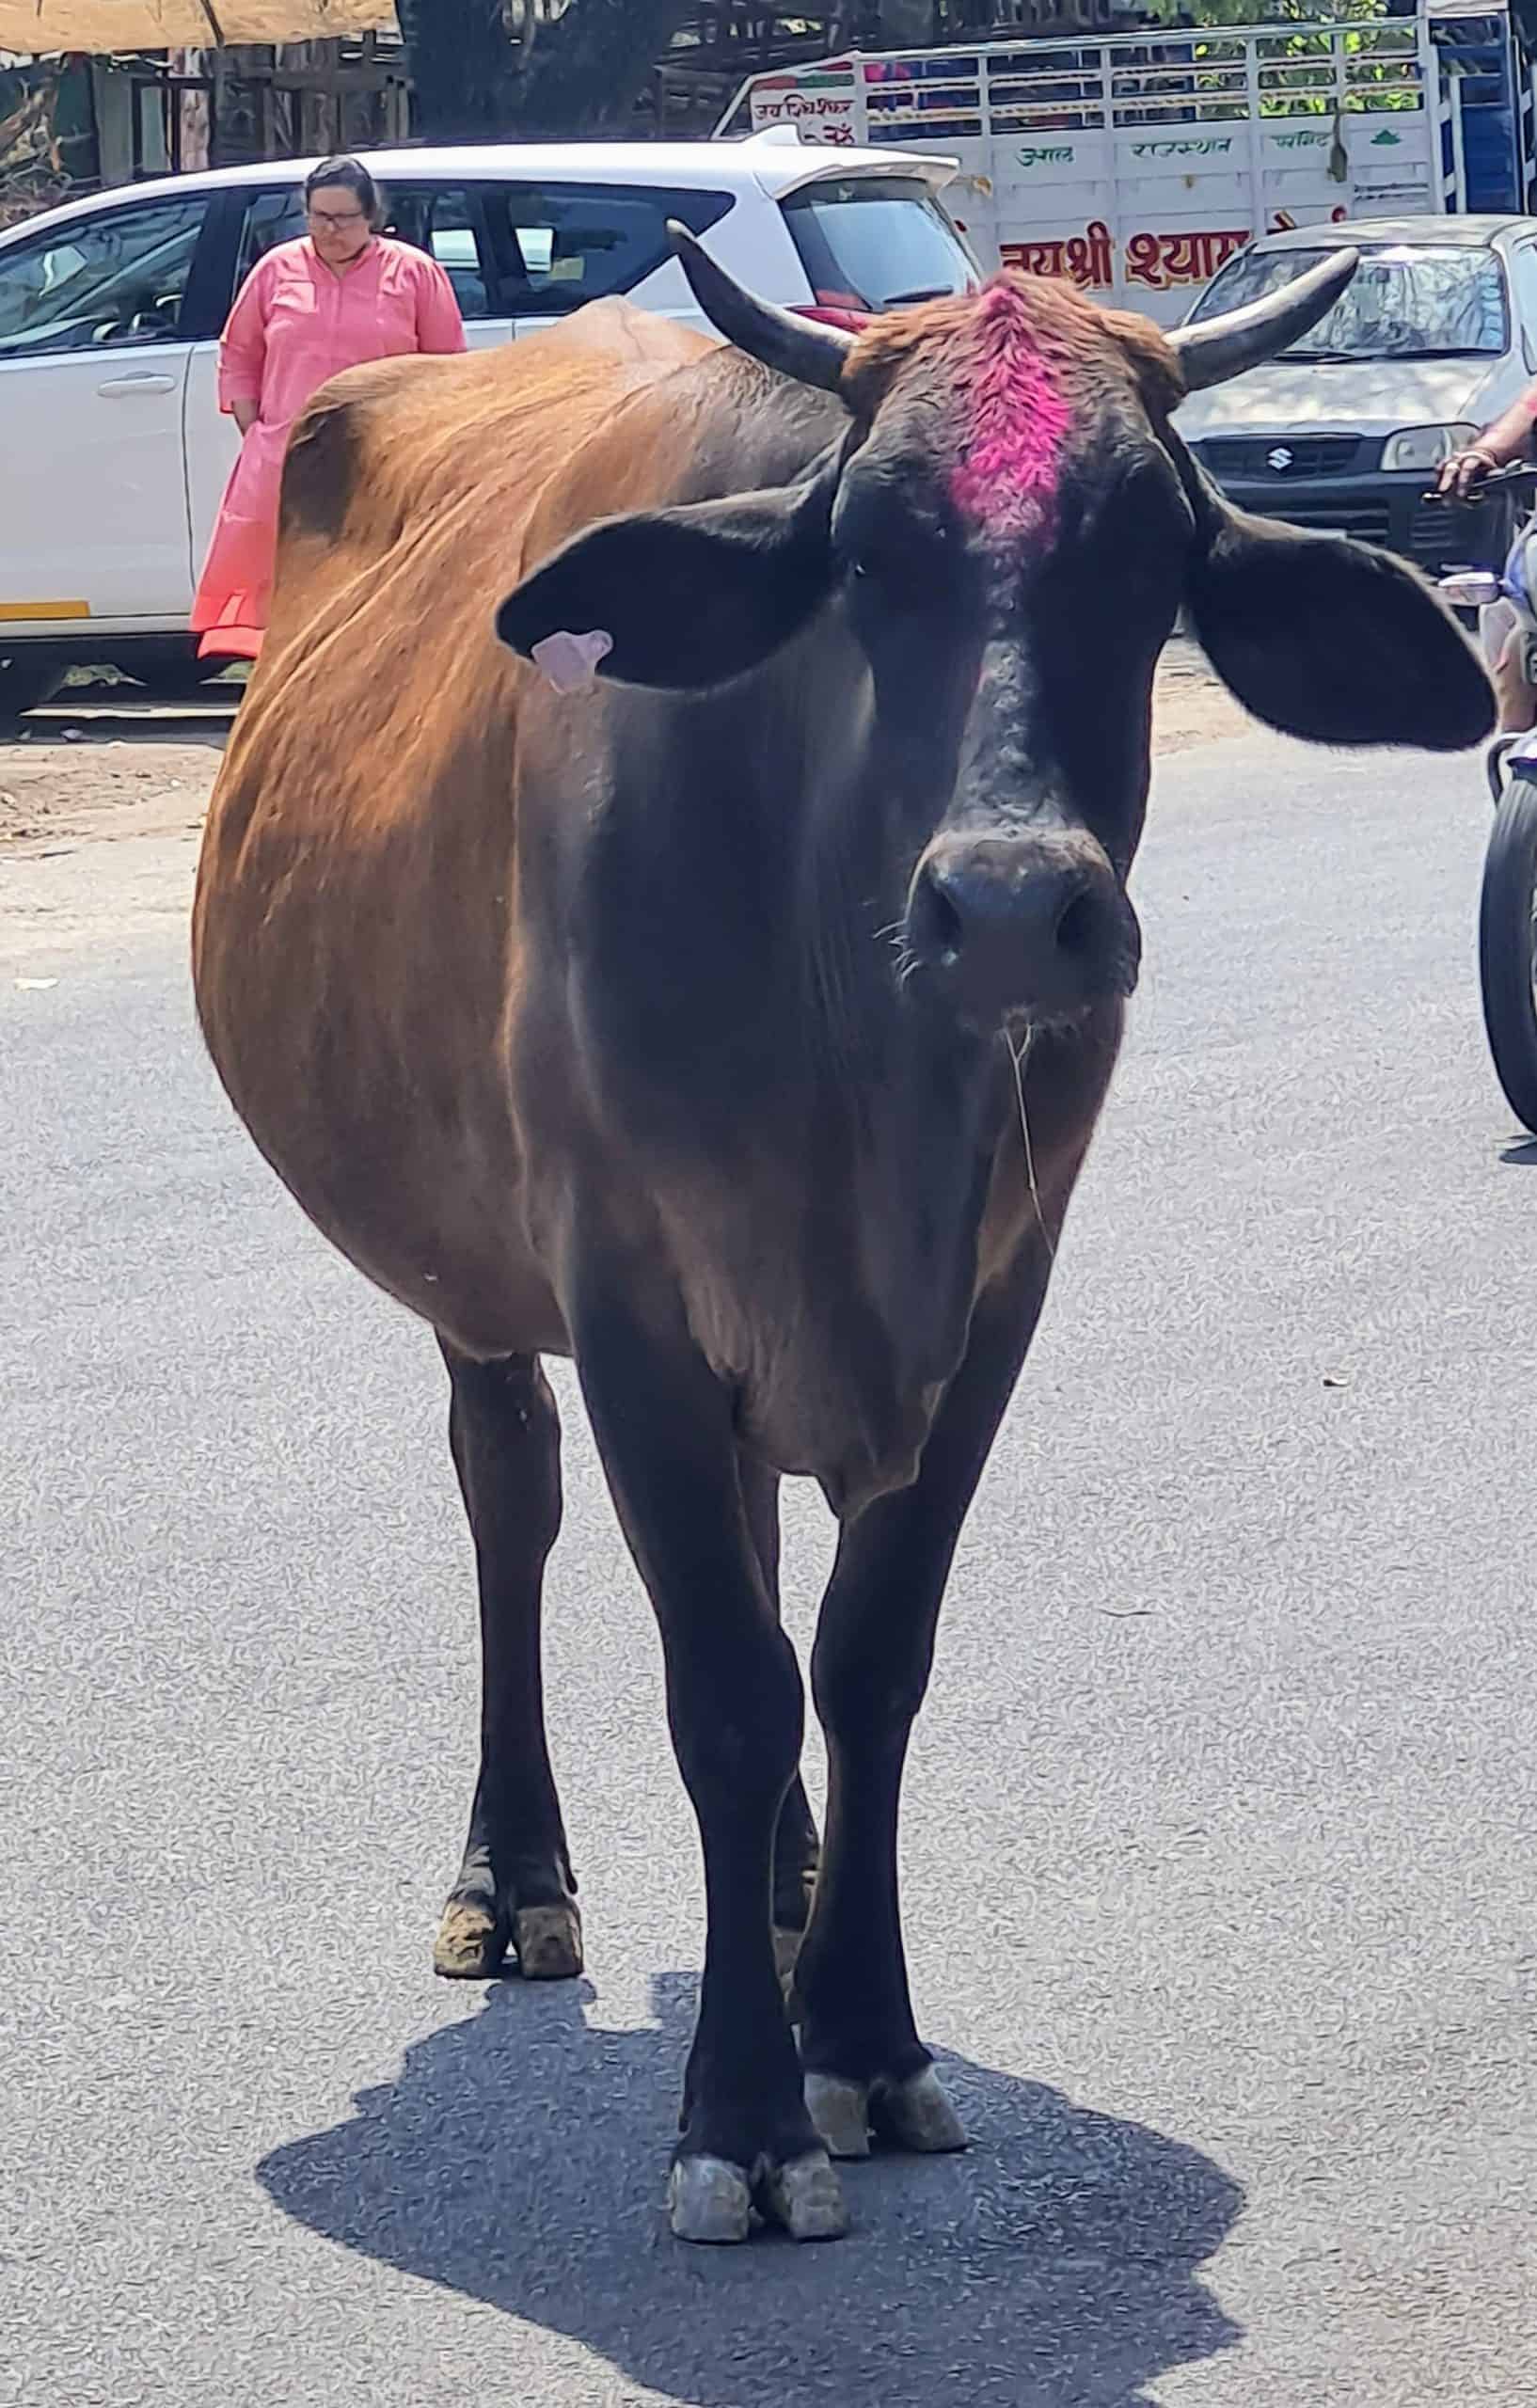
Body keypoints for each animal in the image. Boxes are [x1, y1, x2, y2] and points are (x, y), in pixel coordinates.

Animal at [192, 234, 1492, 2247]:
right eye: (866, 555)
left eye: (1152, 557)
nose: (1015, 908)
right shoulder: (628, 1292)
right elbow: (722, 1692)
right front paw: (738, 2116)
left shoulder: (998, 1291)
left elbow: (867, 1656)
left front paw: (862, 2041)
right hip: (466, 1275)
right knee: (509, 1496)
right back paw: (515, 1875)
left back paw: (794, 1889)